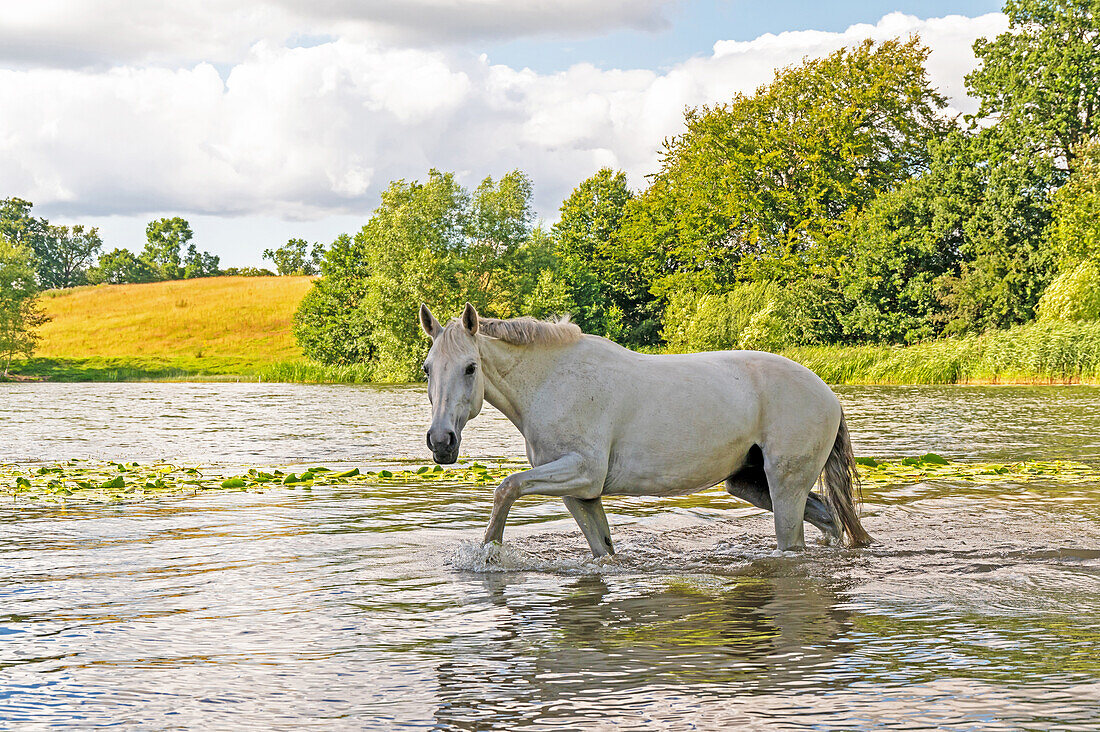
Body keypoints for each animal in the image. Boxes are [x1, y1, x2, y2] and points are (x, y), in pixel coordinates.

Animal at [415, 301, 871, 554]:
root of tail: (827, 394)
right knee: (829, 516)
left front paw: (489, 552)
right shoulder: (582, 493)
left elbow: (506, 488)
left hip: (785, 487)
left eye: (470, 368)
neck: (552, 382)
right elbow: (602, 549)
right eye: (426, 368)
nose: (441, 441)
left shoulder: (581, 472)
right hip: (749, 483)